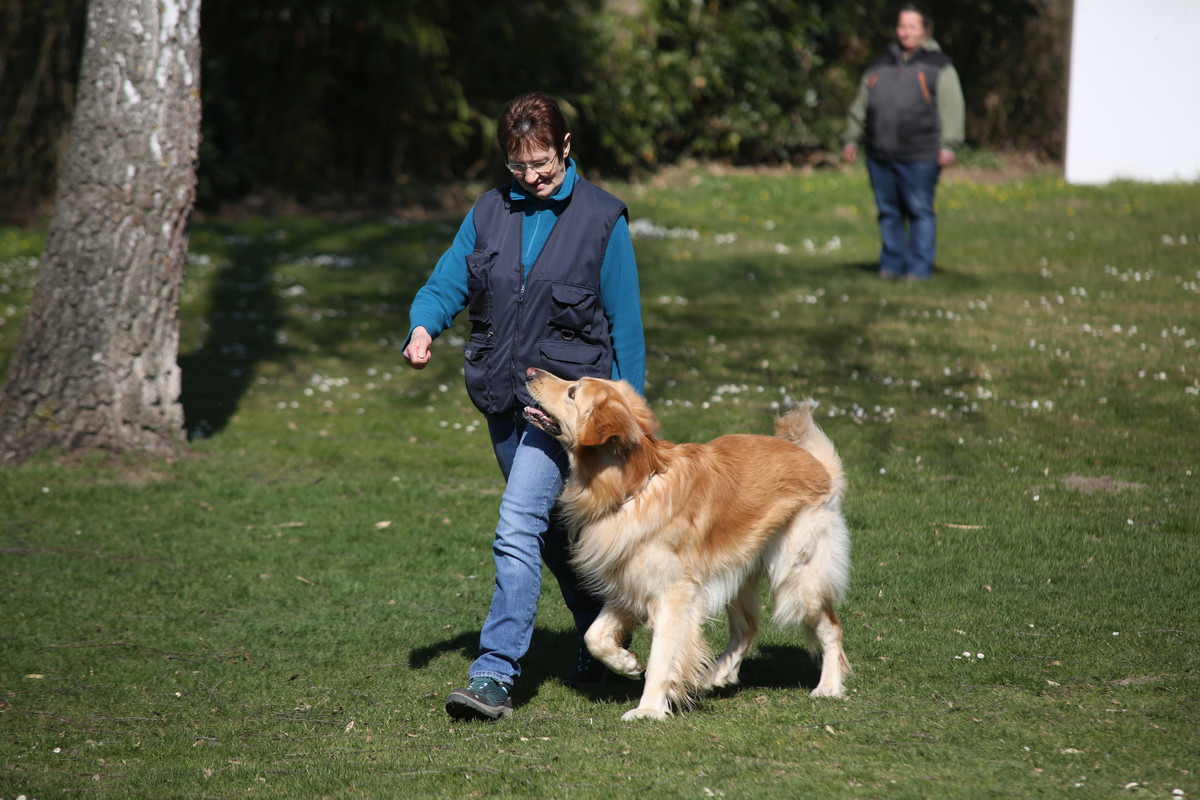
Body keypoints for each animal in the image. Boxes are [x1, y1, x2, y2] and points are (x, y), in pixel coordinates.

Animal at [525, 367, 854, 719]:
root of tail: (820, 467)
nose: (529, 371)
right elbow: (593, 636)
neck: (629, 487)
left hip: (797, 576)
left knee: (831, 627)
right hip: (736, 571)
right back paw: (712, 676)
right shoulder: (631, 579)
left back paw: (829, 686)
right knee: (747, 629)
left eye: (573, 392)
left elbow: (661, 655)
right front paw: (626, 663)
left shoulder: (675, 592)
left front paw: (649, 709)